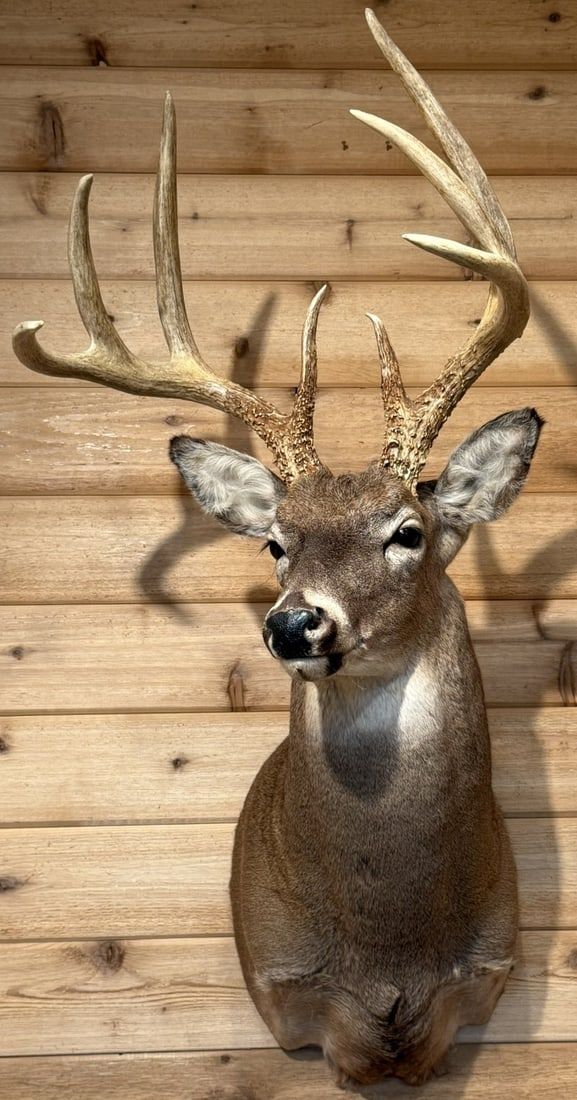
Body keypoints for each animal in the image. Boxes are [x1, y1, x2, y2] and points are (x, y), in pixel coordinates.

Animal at [13, 8, 542, 1088]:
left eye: (408, 531)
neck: (388, 944)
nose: (295, 624)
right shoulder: (301, 1000)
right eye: (272, 543)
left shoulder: (474, 990)